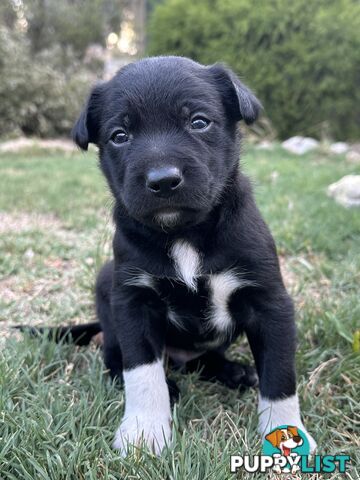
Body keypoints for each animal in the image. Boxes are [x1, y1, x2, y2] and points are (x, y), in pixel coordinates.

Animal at [34, 55, 318, 454]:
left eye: (198, 122)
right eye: (119, 135)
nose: (162, 180)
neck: (183, 233)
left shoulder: (269, 301)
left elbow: (279, 375)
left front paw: (284, 433)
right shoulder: (134, 300)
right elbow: (142, 371)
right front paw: (144, 431)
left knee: (206, 360)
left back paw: (234, 371)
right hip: (107, 283)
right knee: (114, 357)